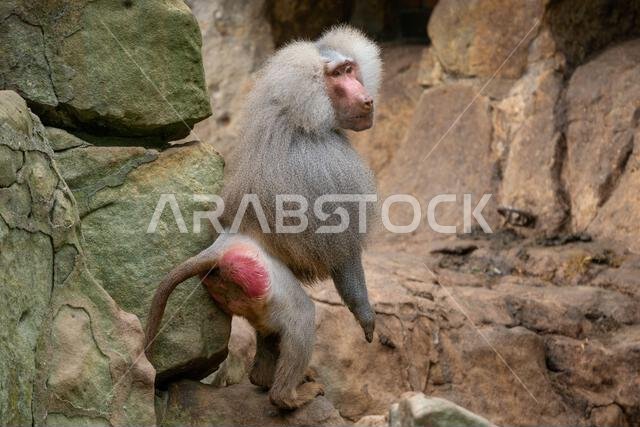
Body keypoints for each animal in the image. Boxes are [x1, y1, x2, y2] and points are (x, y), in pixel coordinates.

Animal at [145, 25, 382, 409]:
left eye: (350, 69)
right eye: (337, 75)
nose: (367, 100)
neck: (300, 114)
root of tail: (222, 246)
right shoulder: (331, 166)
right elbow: (343, 255)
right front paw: (366, 318)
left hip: (236, 288)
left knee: (268, 332)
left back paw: (265, 379)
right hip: (264, 277)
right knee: (301, 316)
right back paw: (289, 396)